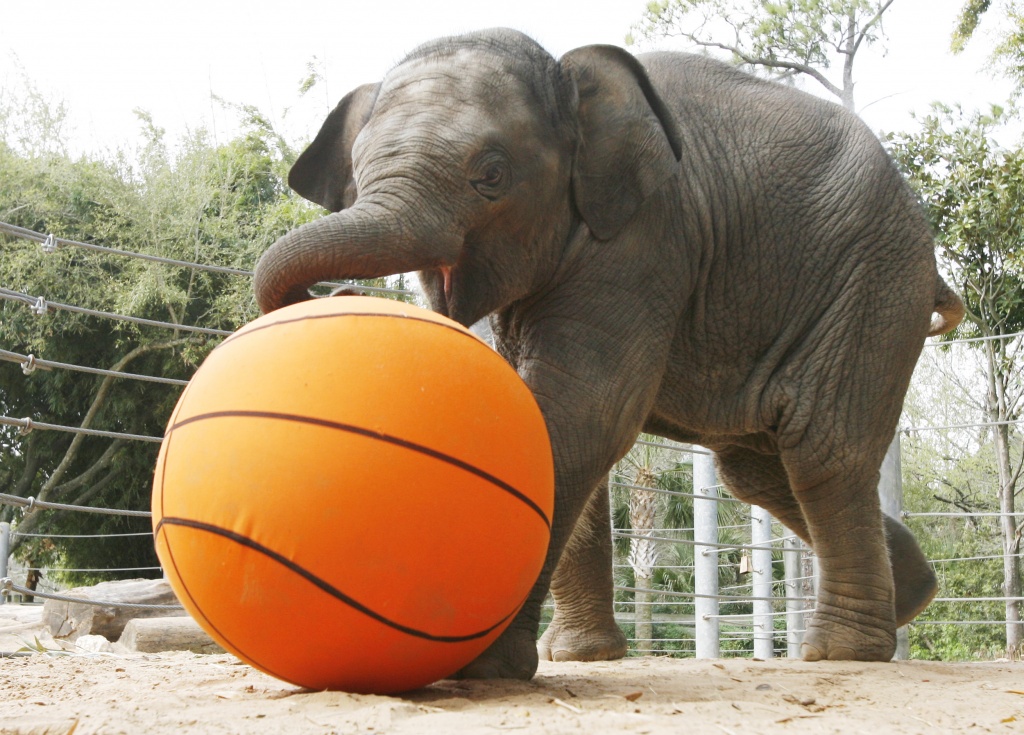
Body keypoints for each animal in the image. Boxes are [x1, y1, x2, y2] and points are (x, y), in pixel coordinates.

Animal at [253, 30, 958, 683]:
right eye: (356, 172)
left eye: (492, 175)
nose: (338, 295)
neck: (569, 79)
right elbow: (543, 412)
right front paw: (574, 658)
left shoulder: (646, 236)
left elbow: (583, 412)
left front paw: (479, 667)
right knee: (756, 465)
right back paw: (911, 595)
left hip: (874, 278)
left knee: (820, 448)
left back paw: (843, 652)